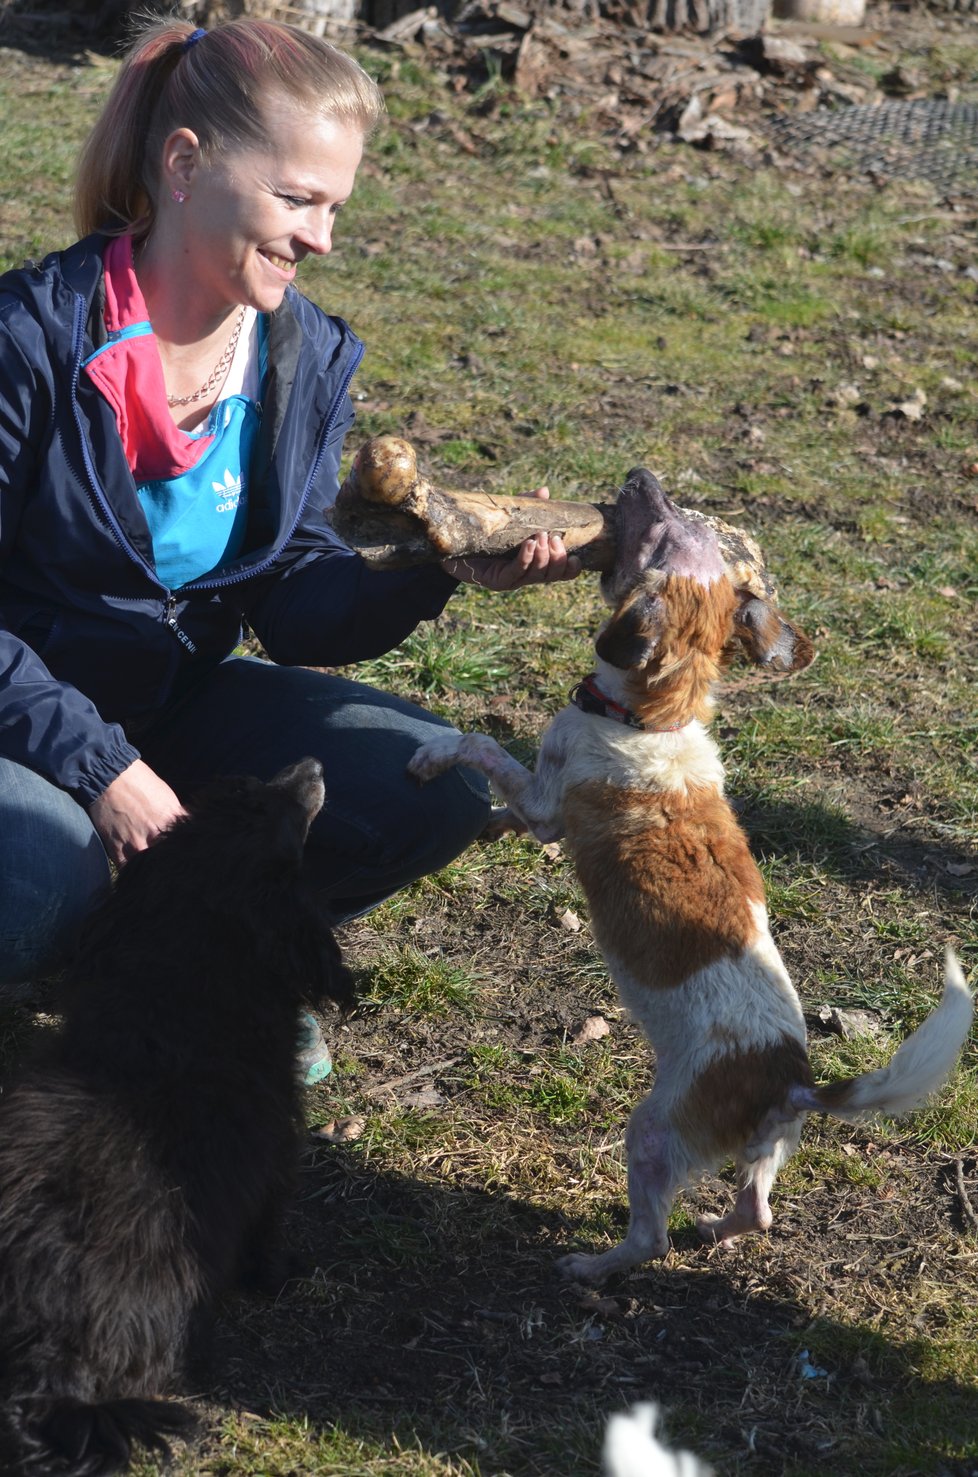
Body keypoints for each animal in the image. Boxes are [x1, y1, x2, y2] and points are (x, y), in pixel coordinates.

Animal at [0, 756, 356, 1471]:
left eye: (243, 792)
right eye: (277, 816)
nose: (311, 764)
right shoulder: (277, 1162)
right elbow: (268, 1239)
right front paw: (284, 1277)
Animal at [410, 469, 975, 1282]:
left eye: (667, 536)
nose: (642, 477)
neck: (654, 718)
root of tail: (791, 1080)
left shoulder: (547, 800)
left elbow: (484, 747)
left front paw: (434, 756)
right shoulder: (544, 807)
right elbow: (503, 804)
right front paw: (486, 823)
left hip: (652, 1132)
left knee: (650, 1237)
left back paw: (591, 1265)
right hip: (764, 1151)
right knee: (758, 1208)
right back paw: (716, 1229)